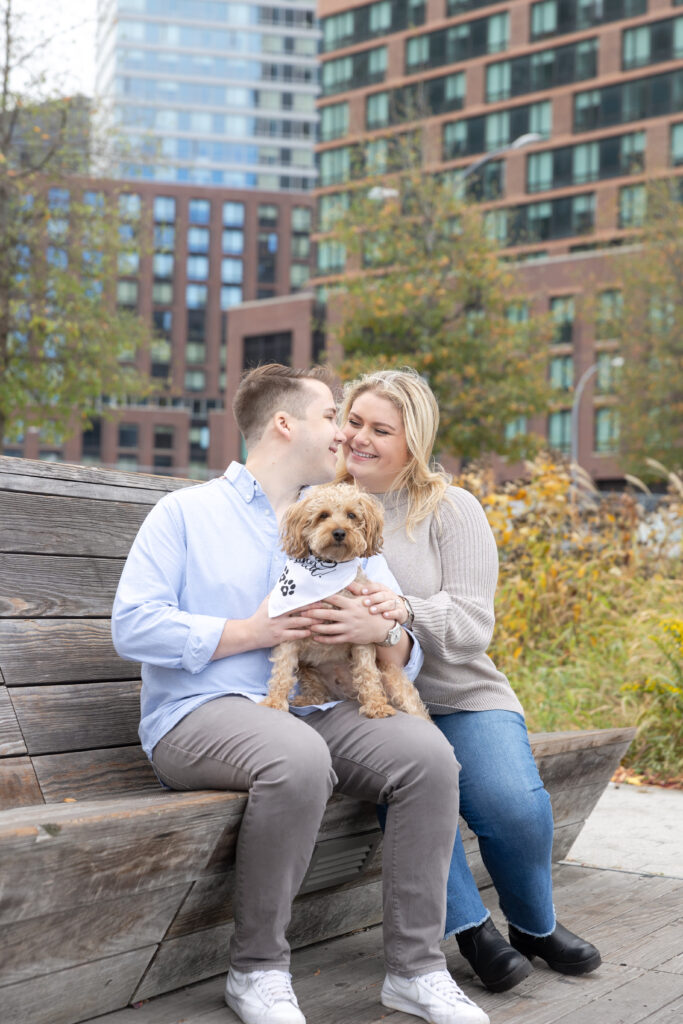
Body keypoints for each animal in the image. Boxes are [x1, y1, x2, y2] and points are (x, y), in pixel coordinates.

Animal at [264, 479, 430, 720]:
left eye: (352, 515)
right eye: (323, 515)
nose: (340, 532)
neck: (327, 576)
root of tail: (347, 695)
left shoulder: (362, 634)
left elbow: (368, 673)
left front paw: (376, 705)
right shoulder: (289, 632)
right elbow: (282, 670)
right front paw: (275, 702)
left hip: (393, 680)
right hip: (308, 670)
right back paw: (307, 699)